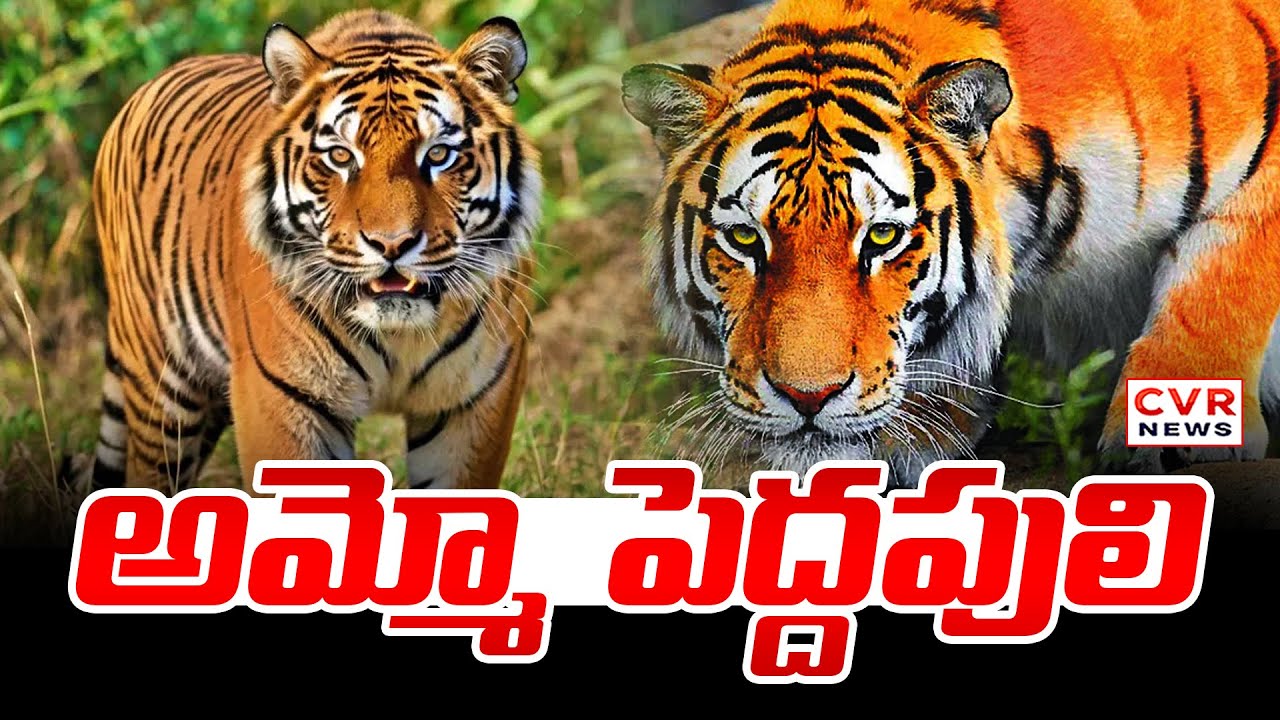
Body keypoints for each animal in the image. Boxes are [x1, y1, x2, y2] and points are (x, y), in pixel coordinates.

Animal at [90, 9, 541, 493]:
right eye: (341, 157)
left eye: (438, 154)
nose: (392, 243)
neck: (398, 338)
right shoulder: (282, 397)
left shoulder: (471, 405)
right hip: (163, 387)